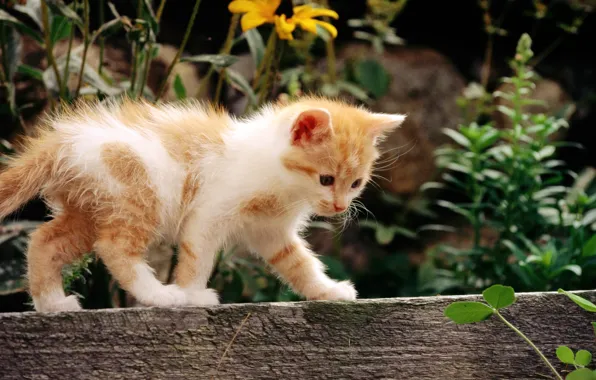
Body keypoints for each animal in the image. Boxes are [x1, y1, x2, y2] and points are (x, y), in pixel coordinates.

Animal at [0, 97, 406, 312]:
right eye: (326, 179)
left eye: (355, 184)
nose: (338, 207)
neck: (279, 184)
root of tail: (61, 141)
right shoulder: (208, 214)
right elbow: (198, 258)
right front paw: (193, 295)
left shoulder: (272, 232)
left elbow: (300, 265)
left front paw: (328, 291)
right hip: (137, 197)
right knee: (114, 247)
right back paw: (161, 296)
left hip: (90, 209)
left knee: (43, 241)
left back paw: (52, 303)